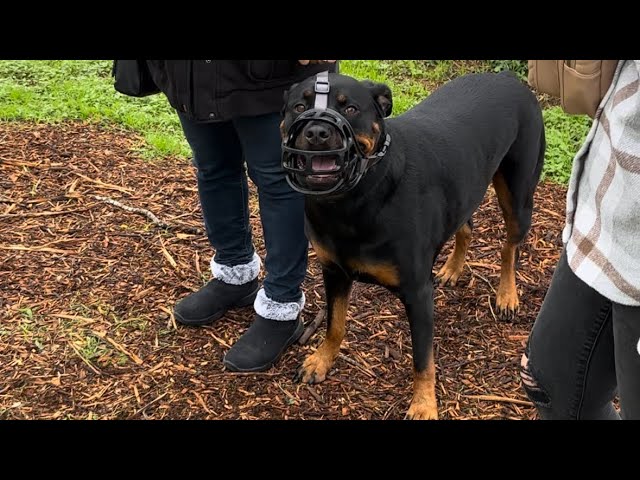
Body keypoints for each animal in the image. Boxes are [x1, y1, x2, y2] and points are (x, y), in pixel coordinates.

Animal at [280, 69, 544, 418]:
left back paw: (507, 295)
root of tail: (508, 76)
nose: (317, 132)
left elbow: (422, 360)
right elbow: (334, 324)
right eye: (298, 106)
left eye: (350, 108)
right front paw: (321, 361)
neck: (353, 200)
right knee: (467, 226)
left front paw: (423, 404)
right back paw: (453, 268)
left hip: (519, 195)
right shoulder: (333, 272)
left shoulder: (418, 293)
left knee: (508, 247)